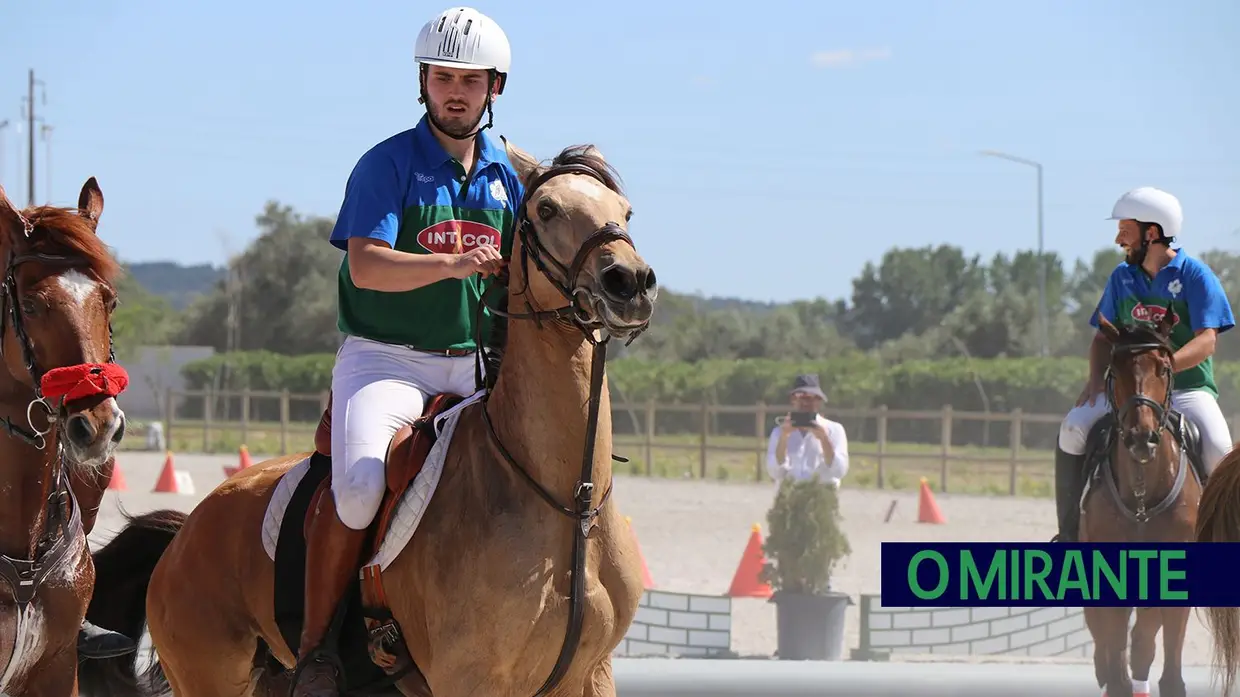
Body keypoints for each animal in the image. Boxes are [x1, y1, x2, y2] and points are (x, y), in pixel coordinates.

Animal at [77, 139, 659, 694]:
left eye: (626, 212)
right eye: (547, 208)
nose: (629, 282)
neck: (567, 503)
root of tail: (187, 530)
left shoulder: (592, 674)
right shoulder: (469, 678)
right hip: (212, 678)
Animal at [1081, 310, 1205, 694]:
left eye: (1163, 368)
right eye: (1114, 368)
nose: (1141, 438)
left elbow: (1162, 660)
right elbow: (1115, 651)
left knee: (1143, 643)